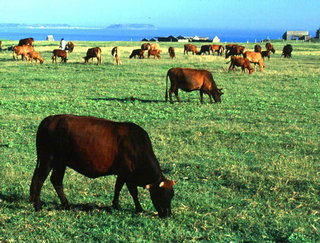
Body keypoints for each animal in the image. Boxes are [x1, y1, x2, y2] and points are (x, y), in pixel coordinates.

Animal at [29, 114, 175, 218]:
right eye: (161, 194)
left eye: (172, 195)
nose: (167, 213)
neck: (137, 146)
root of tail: (50, 119)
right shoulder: (127, 174)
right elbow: (133, 192)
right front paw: (139, 209)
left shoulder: (123, 174)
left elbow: (118, 188)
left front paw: (116, 205)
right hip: (48, 158)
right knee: (39, 179)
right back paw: (38, 206)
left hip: (60, 162)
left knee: (56, 180)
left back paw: (66, 204)